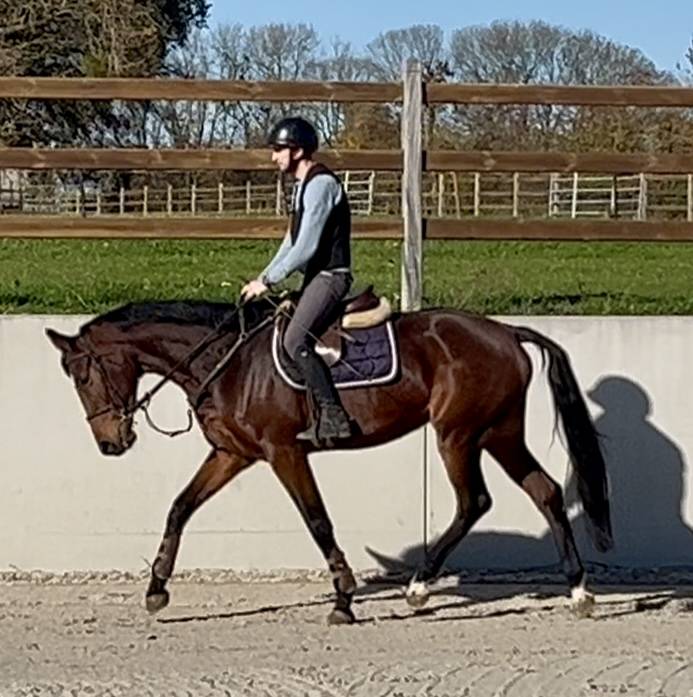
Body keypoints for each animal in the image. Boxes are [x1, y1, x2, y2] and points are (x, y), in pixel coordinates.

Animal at [45, 294, 612, 624]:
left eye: (83, 375)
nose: (110, 443)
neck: (230, 361)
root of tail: (506, 332)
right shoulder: (232, 453)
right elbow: (180, 508)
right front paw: (156, 589)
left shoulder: (284, 451)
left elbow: (317, 520)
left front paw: (343, 599)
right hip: (499, 432)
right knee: (545, 491)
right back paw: (578, 591)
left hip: (458, 435)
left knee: (474, 501)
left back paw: (419, 588)